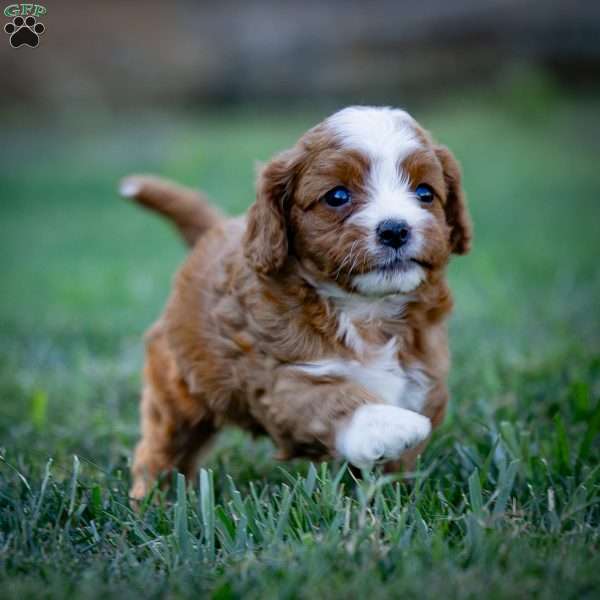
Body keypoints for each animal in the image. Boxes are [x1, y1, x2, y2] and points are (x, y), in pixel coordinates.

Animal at [119, 105, 472, 500]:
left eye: (425, 192)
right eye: (337, 196)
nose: (395, 229)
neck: (366, 310)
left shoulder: (422, 379)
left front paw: (394, 496)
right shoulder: (278, 378)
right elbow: (330, 399)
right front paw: (391, 425)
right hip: (178, 385)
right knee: (164, 444)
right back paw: (152, 498)